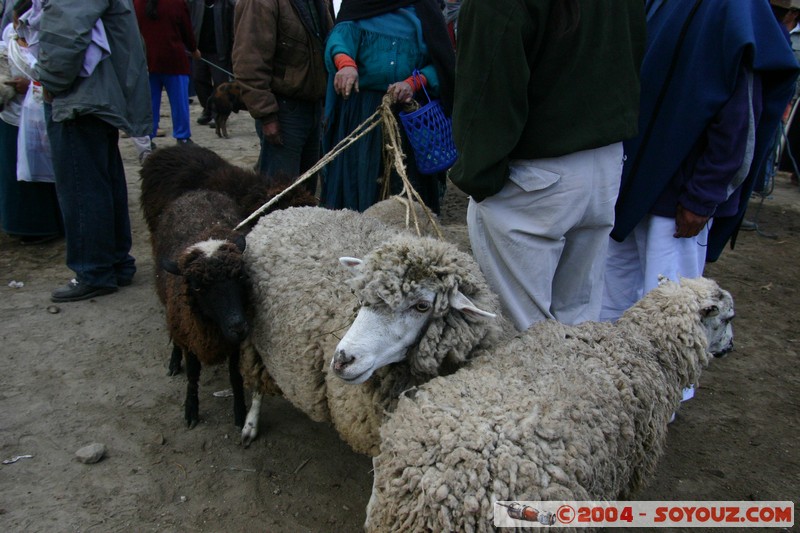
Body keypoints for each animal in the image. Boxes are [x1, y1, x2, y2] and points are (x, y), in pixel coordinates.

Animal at [239, 206, 515, 450]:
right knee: (256, 382)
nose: (341, 361)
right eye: (362, 295)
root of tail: (279, 212)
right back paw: (250, 425)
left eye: (423, 306)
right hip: (253, 338)